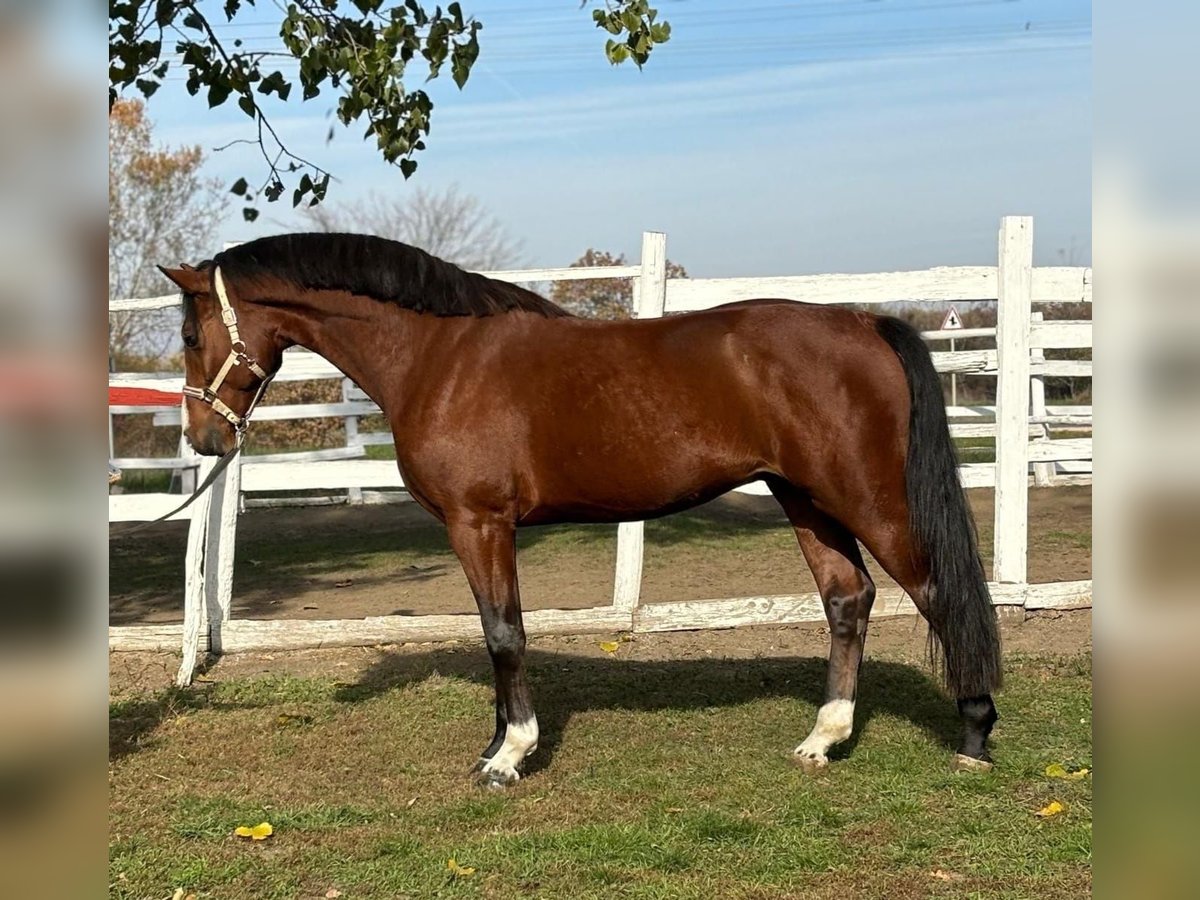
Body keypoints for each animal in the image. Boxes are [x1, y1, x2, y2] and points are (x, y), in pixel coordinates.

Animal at [162, 232, 1003, 787]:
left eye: (190, 331)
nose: (204, 439)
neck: (441, 357)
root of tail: (864, 322)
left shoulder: (480, 523)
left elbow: (504, 634)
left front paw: (510, 756)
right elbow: (494, 633)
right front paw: (496, 741)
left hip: (865, 497)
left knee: (938, 593)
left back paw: (974, 733)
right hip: (804, 498)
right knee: (847, 599)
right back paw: (824, 738)